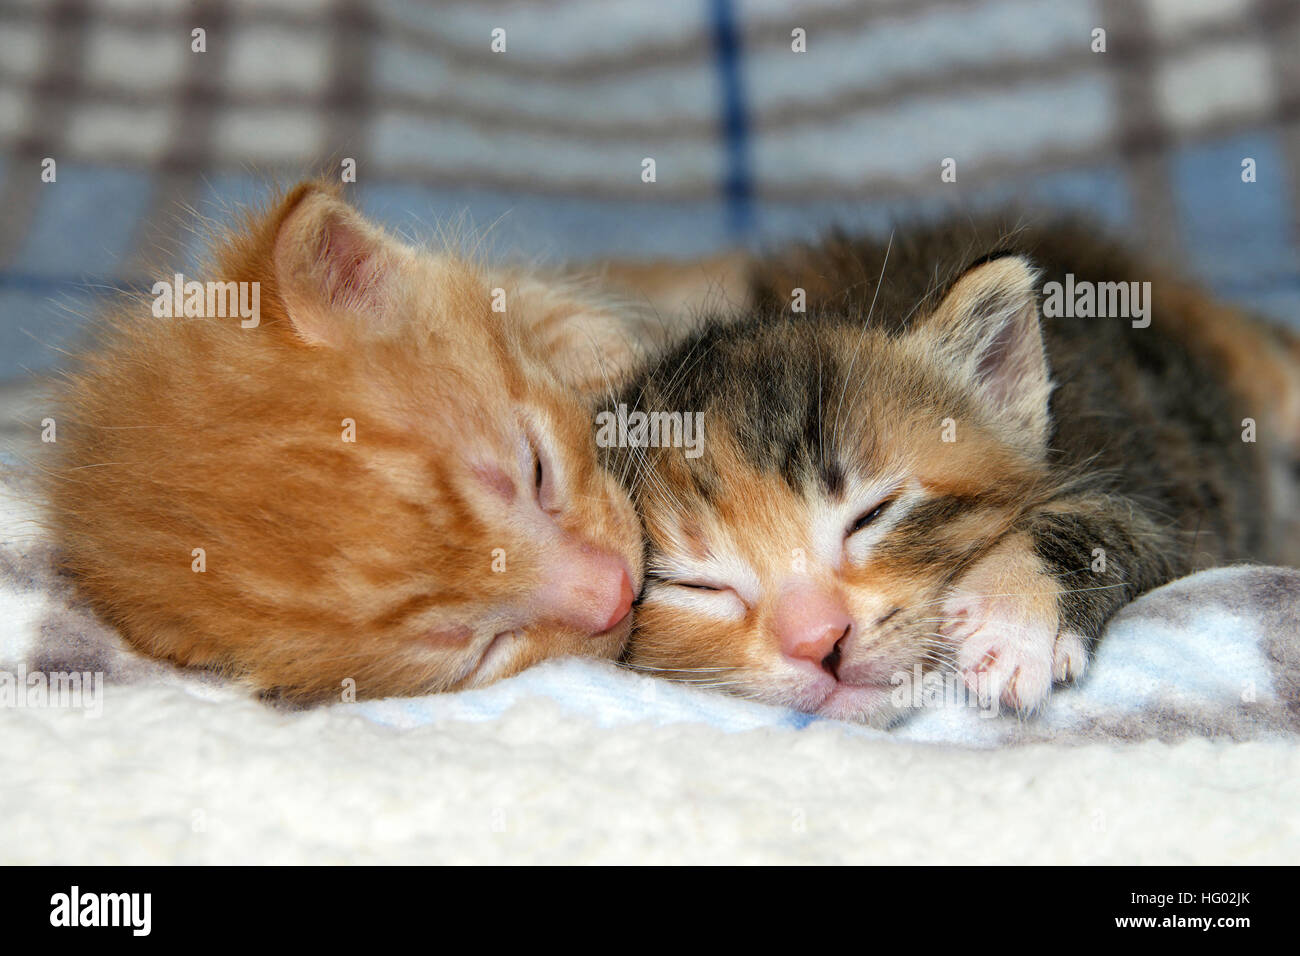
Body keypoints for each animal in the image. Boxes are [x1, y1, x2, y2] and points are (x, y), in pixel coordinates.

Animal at [608, 217, 1300, 723]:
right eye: (700, 586)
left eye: (872, 515)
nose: (819, 641)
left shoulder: (1167, 490)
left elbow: (1108, 522)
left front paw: (1013, 614)